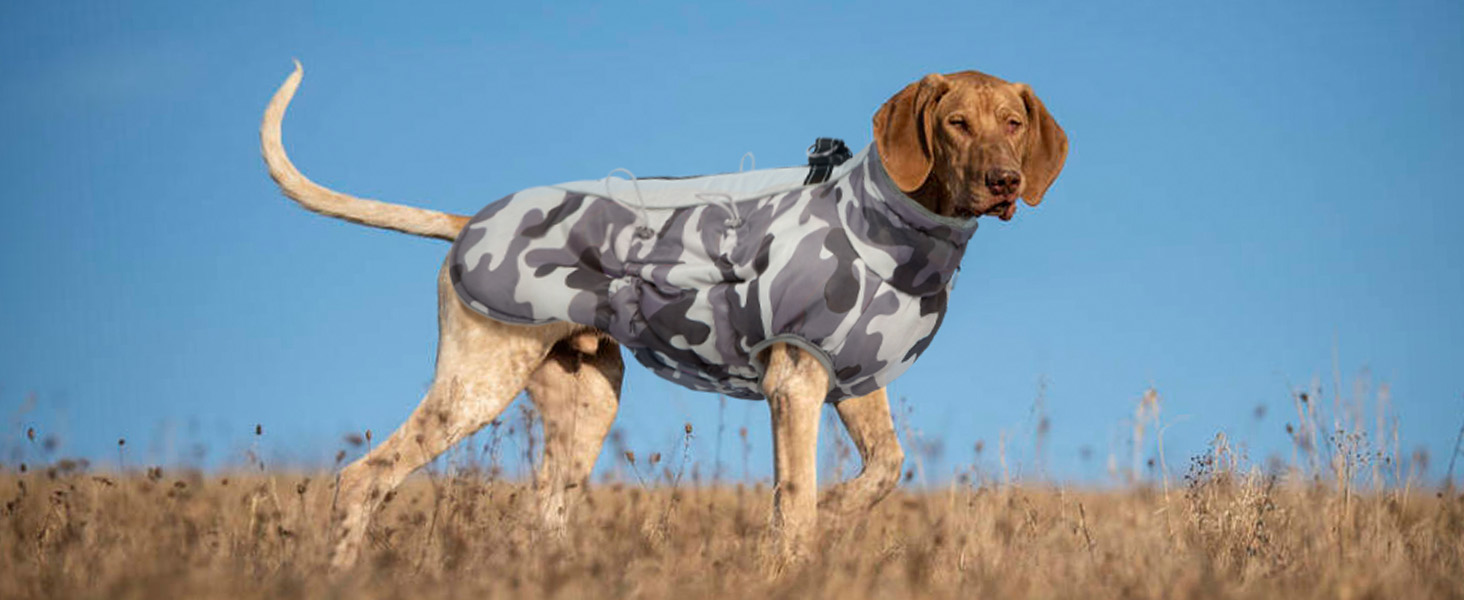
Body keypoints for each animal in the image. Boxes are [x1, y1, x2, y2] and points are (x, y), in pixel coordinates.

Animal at [257, 63, 1071, 570]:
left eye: (1011, 122)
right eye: (956, 122)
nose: (1006, 182)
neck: (891, 228)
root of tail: (470, 224)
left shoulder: (855, 382)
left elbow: (882, 472)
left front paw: (834, 518)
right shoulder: (794, 387)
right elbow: (797, 498)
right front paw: (795, 549)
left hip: (588, 407)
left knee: (539, 519)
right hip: (473, 387)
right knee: (363, 478)